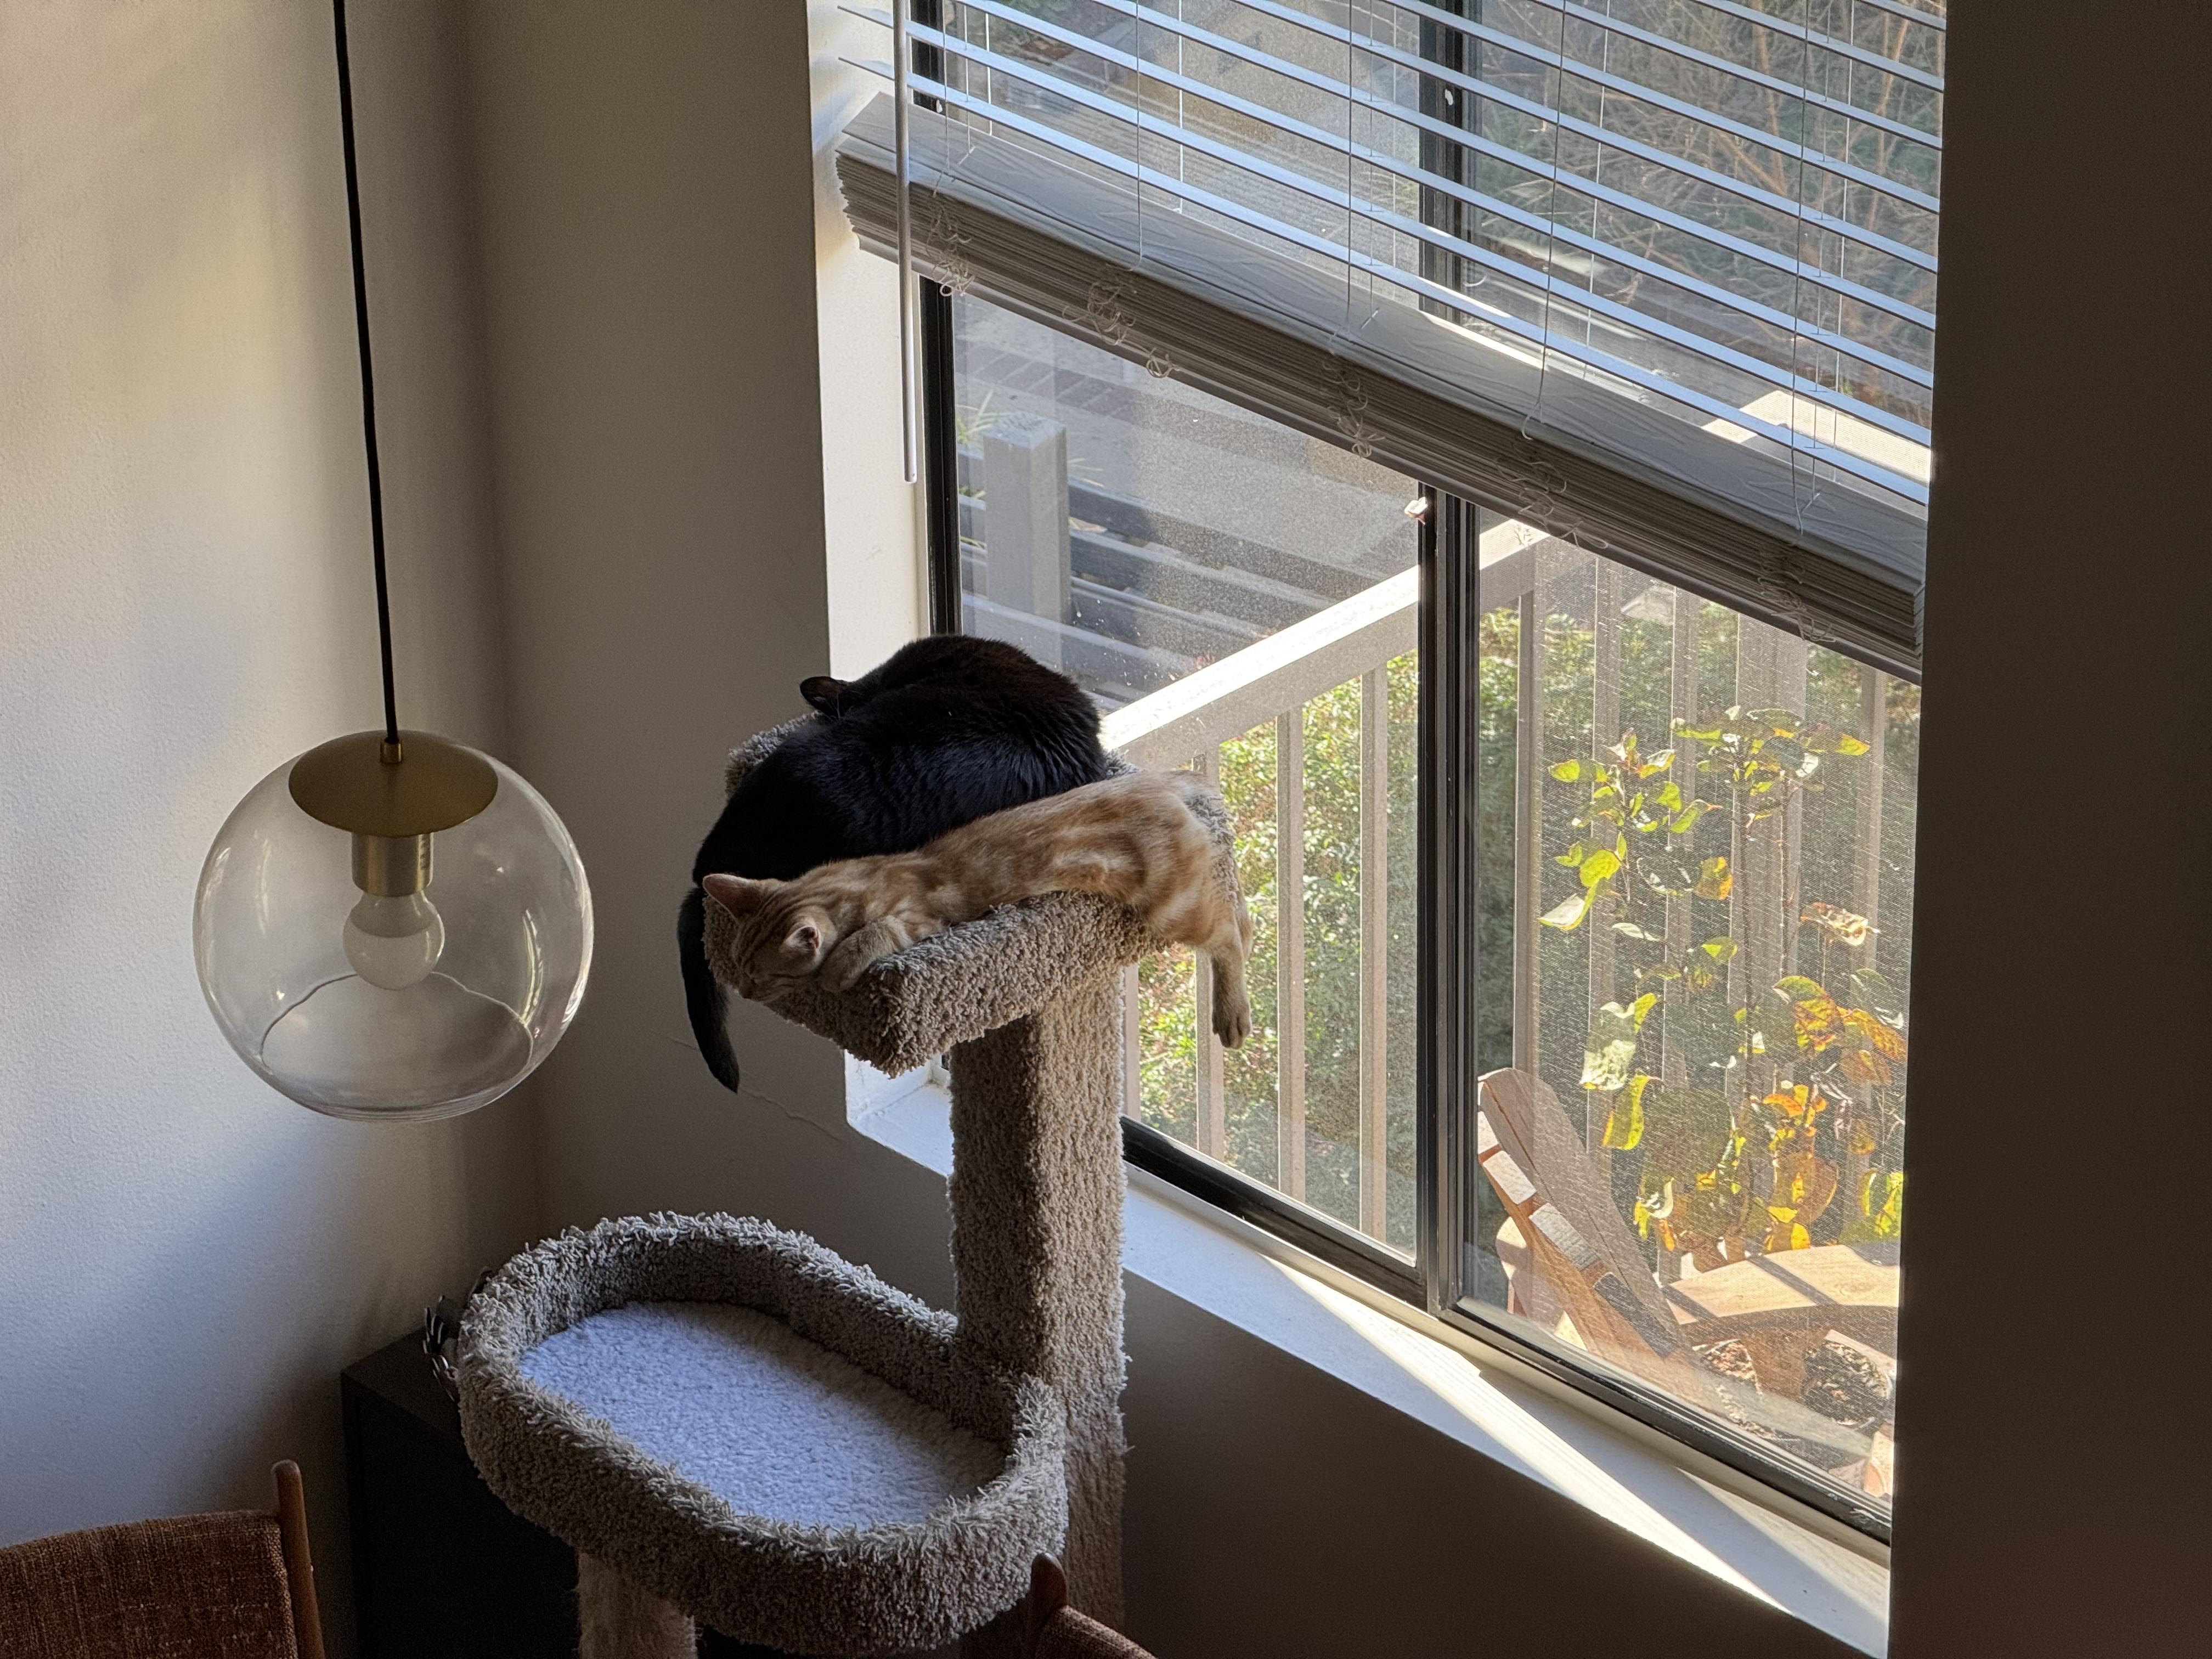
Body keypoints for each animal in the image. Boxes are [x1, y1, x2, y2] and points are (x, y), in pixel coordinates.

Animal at [701, 769, 1254, 1047]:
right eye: (739, 966)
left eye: (763, 976)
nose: (745, 991)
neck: (847, 881)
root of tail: (1157, 781)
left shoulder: (918, 918)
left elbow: (873, 935)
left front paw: (839, 969)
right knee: (1237, 911)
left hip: (1172, 906)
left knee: (1227, 936)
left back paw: (1232, 1014)